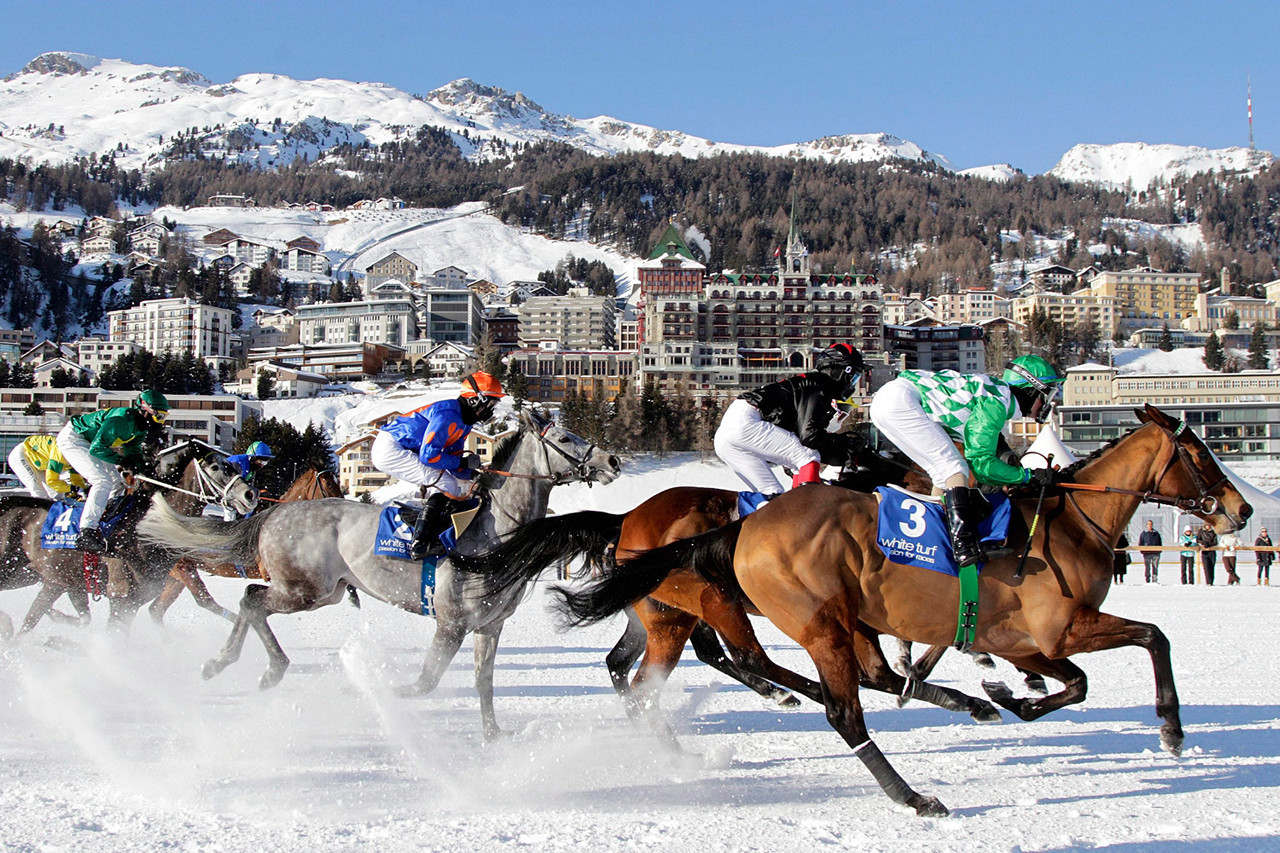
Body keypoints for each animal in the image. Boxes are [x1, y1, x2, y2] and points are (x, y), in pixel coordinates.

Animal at [0, 455, 258, 635]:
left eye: (234, 468)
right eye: (215, 468)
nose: (249, 494)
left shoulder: (130, 601)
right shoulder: (121, 597)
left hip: (32, 576)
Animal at [145, 468, 344, 624]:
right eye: (328, 483)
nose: (343, 502)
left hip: (174, 575)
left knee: (156, 609)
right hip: (182, 569)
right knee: (203, 600)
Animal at [548, 405, 1252, 816]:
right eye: (1201, 455)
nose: (1242, 510)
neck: (1071, 522)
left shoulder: (1030, 638)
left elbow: (1070, 682)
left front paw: (1008, 697)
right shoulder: (1061, 628)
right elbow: (1153, 637)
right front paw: (1171, 728)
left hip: (693, 615)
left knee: (645, 674)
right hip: (780, 616)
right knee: (807, 689)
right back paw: (907, 789)